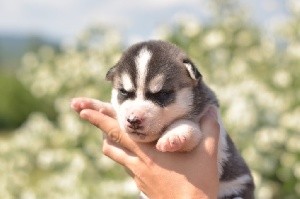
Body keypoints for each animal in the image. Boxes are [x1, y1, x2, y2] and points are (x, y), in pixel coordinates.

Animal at [105, 40, 253, 197]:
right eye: (124, 92)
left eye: (162, 94)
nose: (133, 120)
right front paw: (102, 106)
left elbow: (185, 124)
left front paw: (174, 136)